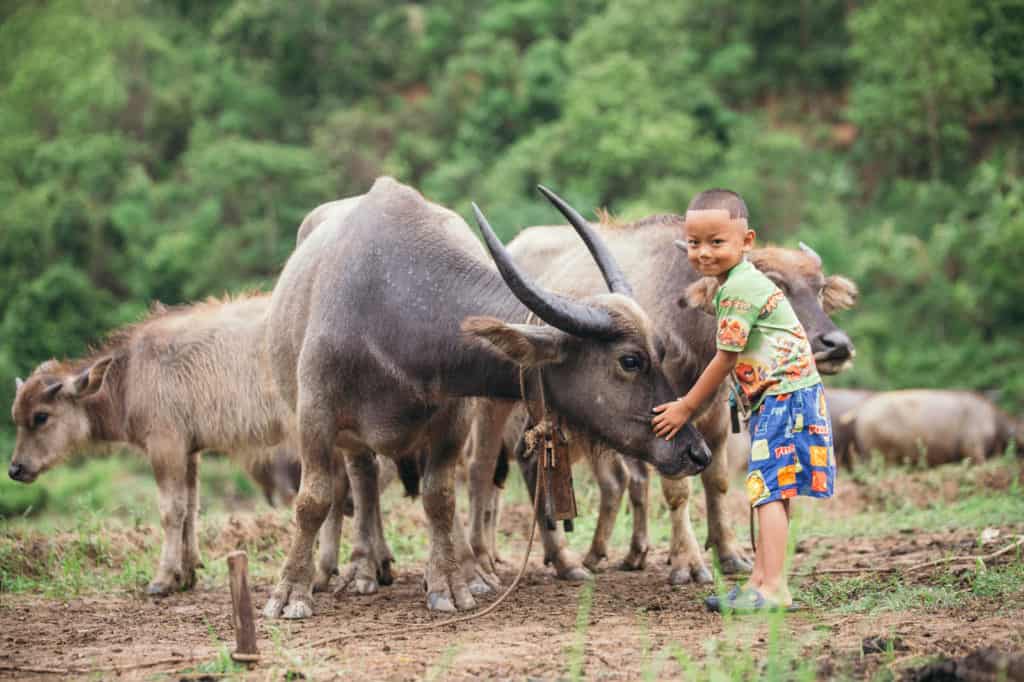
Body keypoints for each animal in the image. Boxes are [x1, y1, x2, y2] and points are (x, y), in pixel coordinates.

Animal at [262, 176, 712, 614]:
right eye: (630, 360)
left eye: (662, 352)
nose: (696, 452)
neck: (397, 307)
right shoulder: (315, 414)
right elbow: (313, 498)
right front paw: (291, 592)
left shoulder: (453, 416)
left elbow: (440, 496)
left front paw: (449, 583)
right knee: (362, 480)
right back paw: (361, 568)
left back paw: (458, 568)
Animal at [464, 216, 856, 585]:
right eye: (775, 286)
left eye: (819, 289)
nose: (837, 344)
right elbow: (678, 489)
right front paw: (688, 563)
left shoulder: (713, 419)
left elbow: (717, 482)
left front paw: (730, 554)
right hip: (500, 406)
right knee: (492, 468)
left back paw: (594, 555)